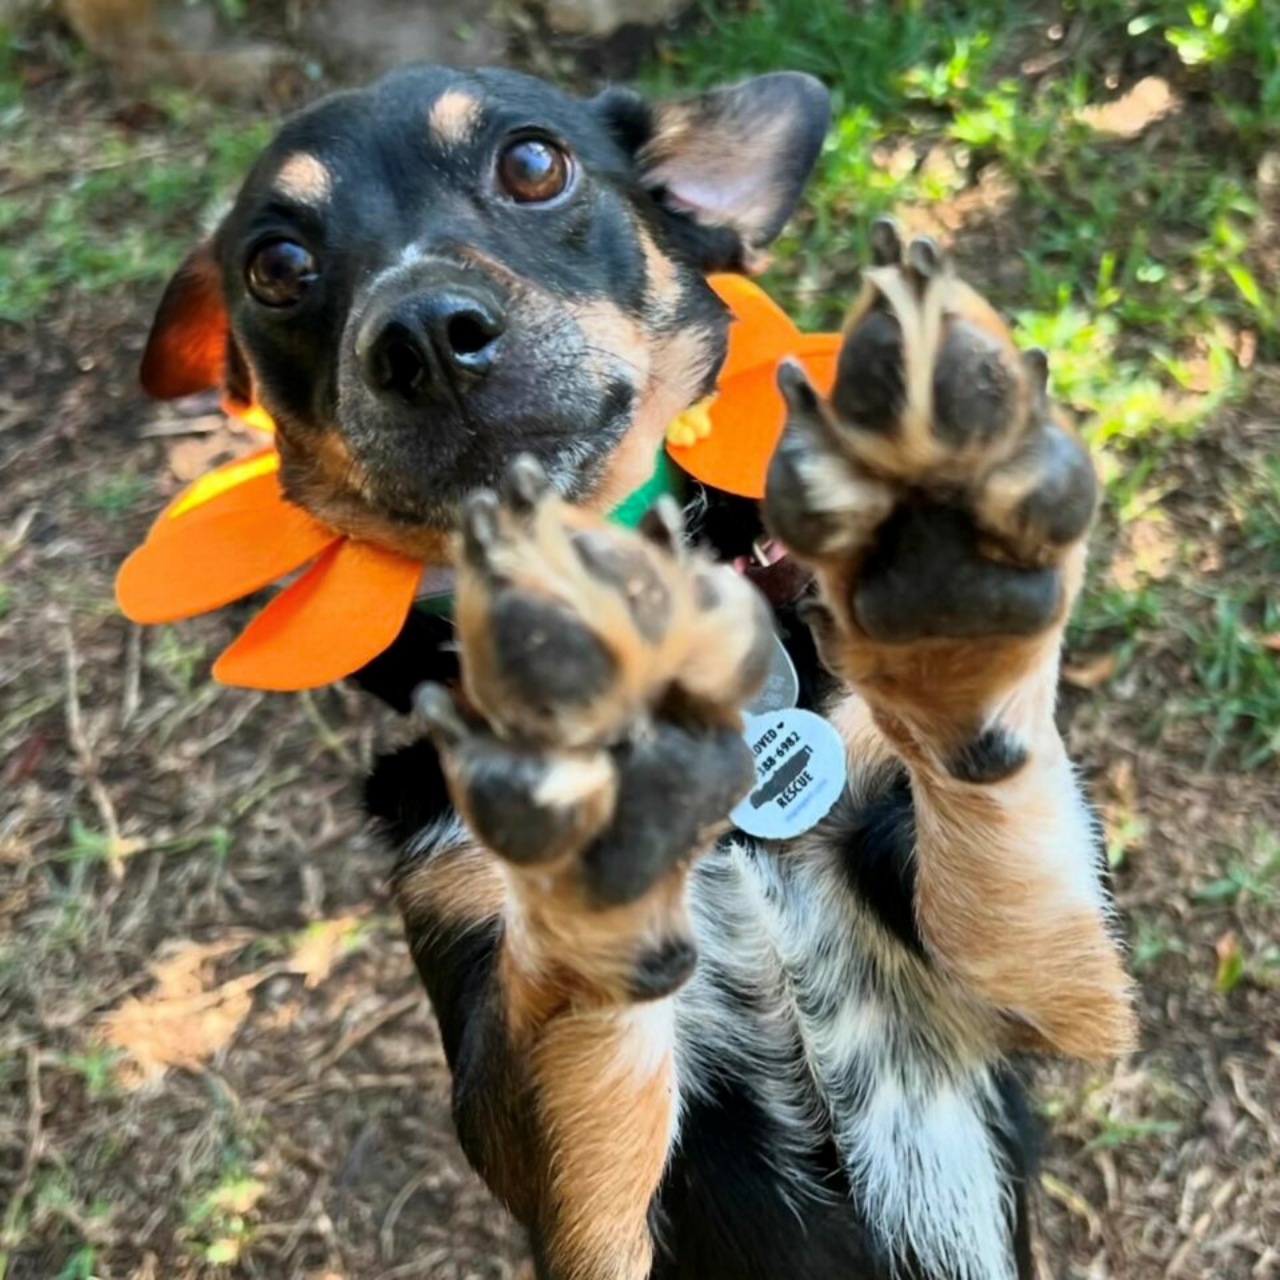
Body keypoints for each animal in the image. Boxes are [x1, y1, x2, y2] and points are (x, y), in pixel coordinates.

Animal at [137, 62, 1141, 1280]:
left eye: (533, 162)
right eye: (275, 266)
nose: (420, 329)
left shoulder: (1050, 992)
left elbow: (993, 809)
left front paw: (947, 593)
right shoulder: (572, 1198)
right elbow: (562, 1006)